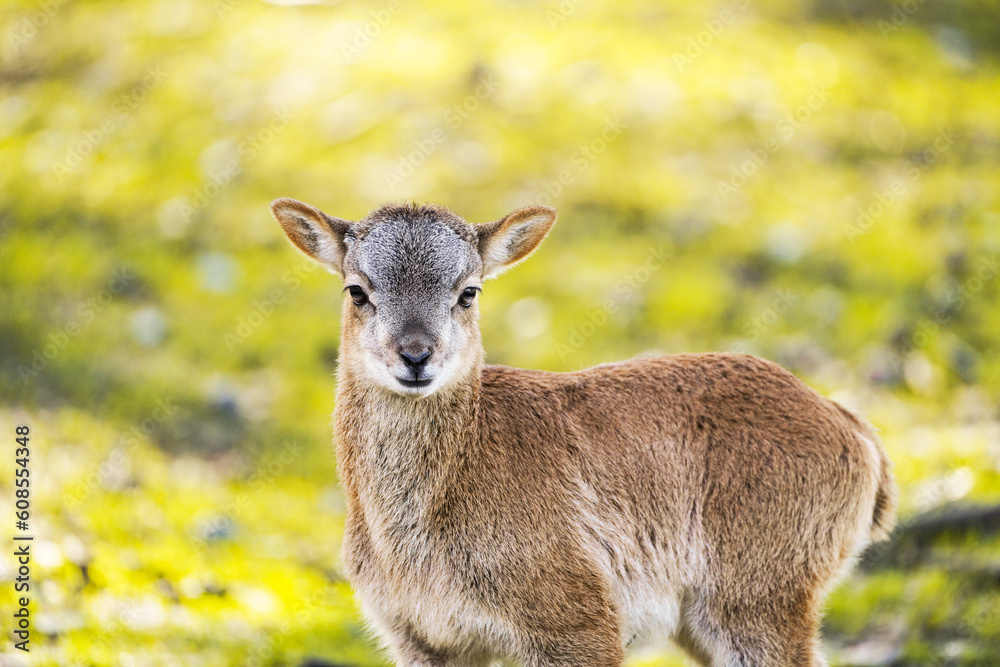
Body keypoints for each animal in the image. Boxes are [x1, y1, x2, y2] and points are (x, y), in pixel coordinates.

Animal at [270, 197, 897, 667]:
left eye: (469, 291)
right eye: (357, 290)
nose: (416, 356)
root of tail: (858, 435)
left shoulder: (578, 619)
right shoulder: (419, 637)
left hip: (761, 596)